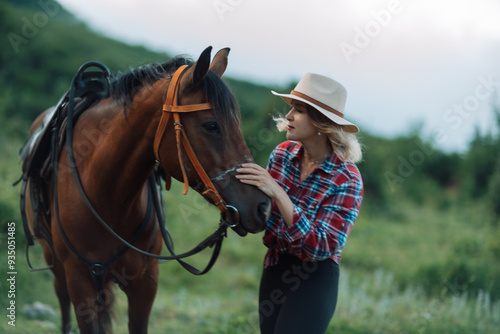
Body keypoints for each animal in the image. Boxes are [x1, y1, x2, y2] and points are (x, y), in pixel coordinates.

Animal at [19, 47, 272, 334]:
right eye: (211, 125)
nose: (262, 207)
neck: (107, 196)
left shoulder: (145, 282)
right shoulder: (80, 282)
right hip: (55, 263)